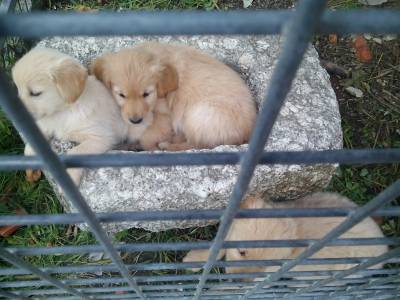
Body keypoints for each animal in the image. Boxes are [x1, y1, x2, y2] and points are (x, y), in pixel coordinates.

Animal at [12, 47, 127, 185]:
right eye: (17, 89)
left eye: (35, 93)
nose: (14, 118)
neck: (64, 111)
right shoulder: (46, 122)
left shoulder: (101, 137)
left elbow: (75, 152)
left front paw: (69, 177)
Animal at [90, 42, 258, 150]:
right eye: (121, 95)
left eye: (146, 94)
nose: (135, 121)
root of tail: (249, 132)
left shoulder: (165, 113)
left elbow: (148, 137)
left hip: (199, 115)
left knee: (198, 145)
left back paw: (167, 145)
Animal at [184, 192, 388, 282]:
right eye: (241, 252)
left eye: (266, 266)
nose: (240, 281)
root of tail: (384, 245)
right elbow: (216, 248)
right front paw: (195, 259)